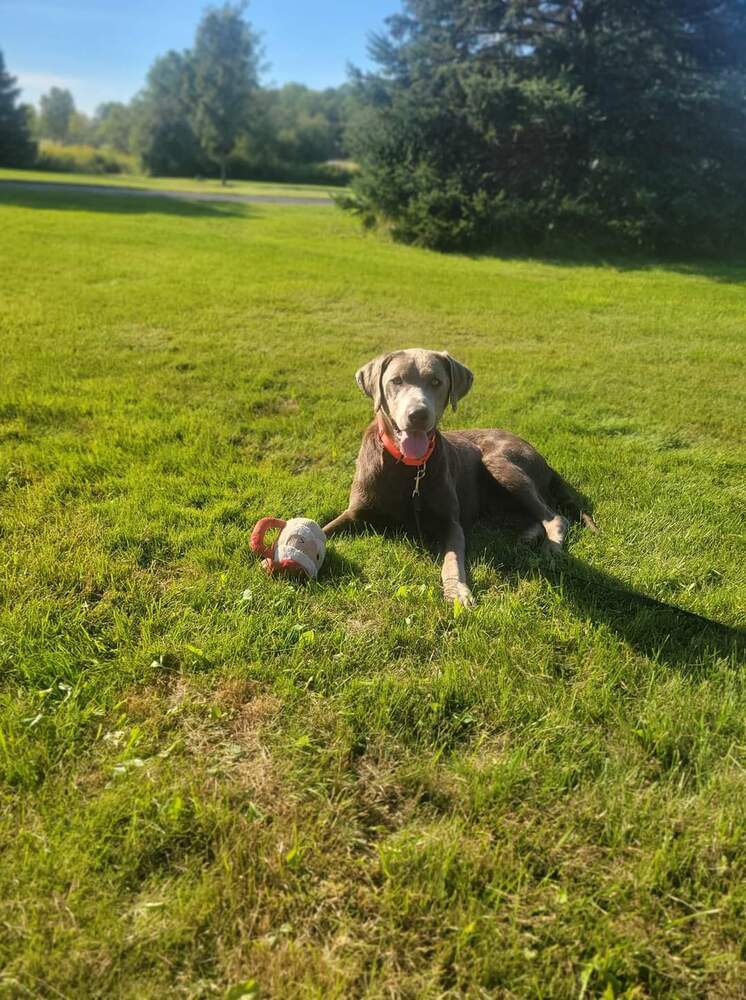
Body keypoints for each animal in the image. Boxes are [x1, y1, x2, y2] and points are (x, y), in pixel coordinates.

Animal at [322, 348, 592, 604]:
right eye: (396, 381)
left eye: (436, 382)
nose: (418, 415)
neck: (407, 467)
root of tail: (543, 459)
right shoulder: (356, 513)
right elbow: (323, 529)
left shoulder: (451, 523)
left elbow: (452, 559)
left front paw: (457, 592)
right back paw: (527, 537)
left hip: (499, 464)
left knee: (554, 517)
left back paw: (550, 548)